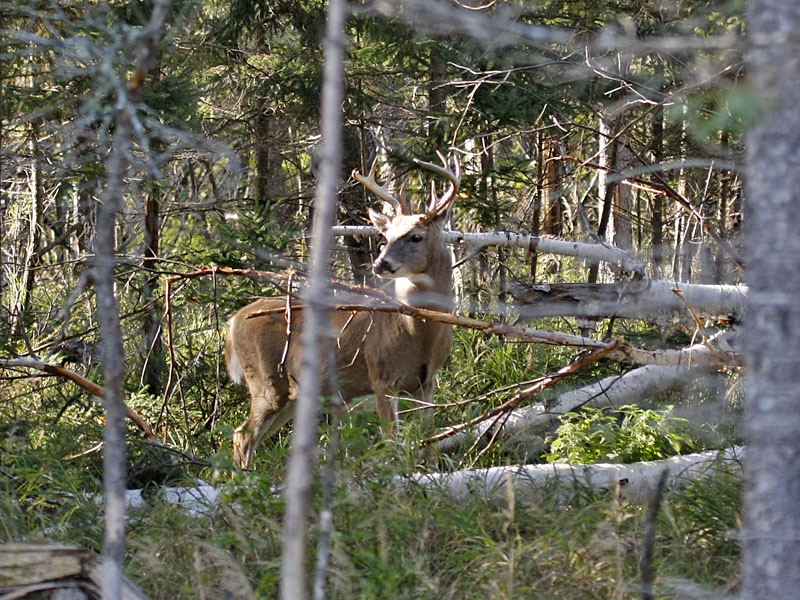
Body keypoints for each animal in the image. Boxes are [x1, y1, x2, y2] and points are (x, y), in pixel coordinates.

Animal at [226, 152, 461, 469]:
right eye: (386, 236)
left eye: (416, 236)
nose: (380, 264)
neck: (419, 334)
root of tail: (233, 321)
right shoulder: (380, 376)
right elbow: (393, 445)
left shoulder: (428, 381)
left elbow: (429, 441)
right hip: (265, 382)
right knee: (242, 435)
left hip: (291, 395)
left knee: (250, 436)